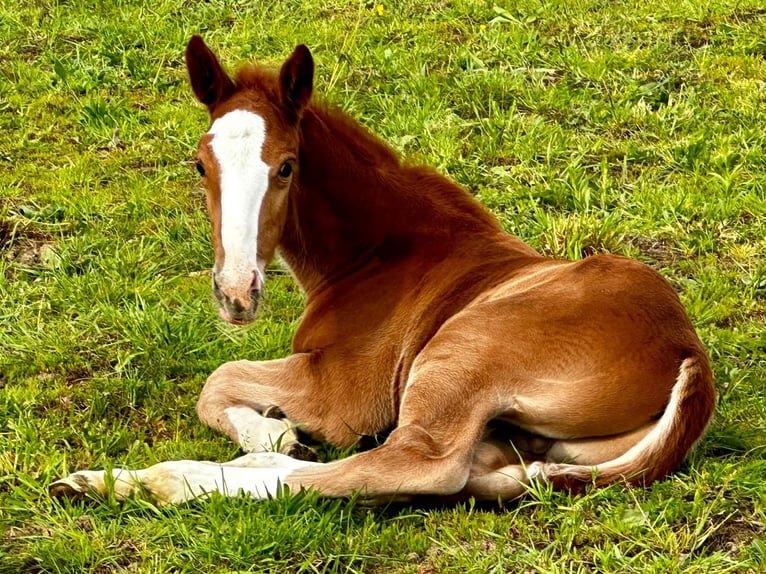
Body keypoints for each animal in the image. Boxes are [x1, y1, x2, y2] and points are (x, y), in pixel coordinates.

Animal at [49, 36, 720, 506]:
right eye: (199, 164)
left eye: (287, 166)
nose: (236, 293)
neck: (382, 253)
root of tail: (687, 357)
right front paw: (274, 433)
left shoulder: (345, 389)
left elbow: (218, 378)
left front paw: (275, 431)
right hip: (531, 446)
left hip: (460, 354)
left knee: (414, 464)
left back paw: (129, 482)